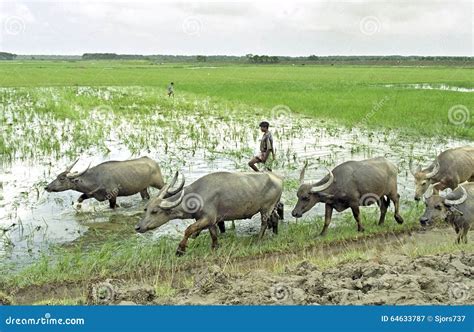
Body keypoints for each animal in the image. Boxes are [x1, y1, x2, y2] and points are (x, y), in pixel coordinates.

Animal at [134, 170, 282, 255]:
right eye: (145, 209)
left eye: (155, 211)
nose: (138, 227)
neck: (197, 195)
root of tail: (278, 178)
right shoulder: (211, 221)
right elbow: (214, 234)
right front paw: (215, 247)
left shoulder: (207, 218)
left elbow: (189, 229)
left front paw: (180, 249)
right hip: (273, 207)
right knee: (275, 218)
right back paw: (275, 233)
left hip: (266, 208)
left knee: (264, 223)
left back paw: (258, 239)